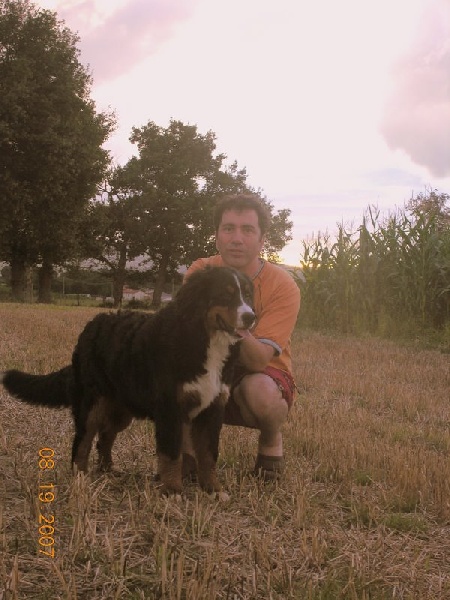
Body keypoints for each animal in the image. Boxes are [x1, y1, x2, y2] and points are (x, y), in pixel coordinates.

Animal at [1, 267, 255, 495]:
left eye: (248, 294)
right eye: (226, 293)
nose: (251, 316)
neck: (202, 338)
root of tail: (92, 324)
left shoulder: (212, 408)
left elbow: (208, 454)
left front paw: (213, 490)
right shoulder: (170, 409)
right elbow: (172, 454)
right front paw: (173, 491)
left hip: (121, 410)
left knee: (105, 438)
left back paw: (108, 470)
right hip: (91, 404)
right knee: (82, 442)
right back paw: (80, 479)